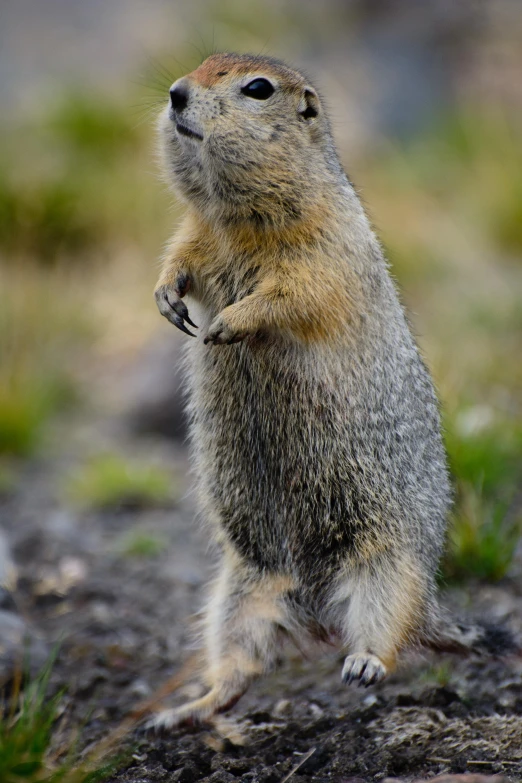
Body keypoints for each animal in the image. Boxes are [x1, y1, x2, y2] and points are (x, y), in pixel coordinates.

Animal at [148, 53, 512, 728]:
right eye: (199, 66)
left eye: (257, 88)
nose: (176, 94)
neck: (237, 217)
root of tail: (318, 615)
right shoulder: (195, 229)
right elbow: (179, 257)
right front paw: (167, 297)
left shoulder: (325, 249)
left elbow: (295, 293)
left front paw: (229, 323)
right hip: (238, 593)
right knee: (240, 667)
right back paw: (188, 709)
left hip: (386, 569)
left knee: (390, 631)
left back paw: (364, 662)